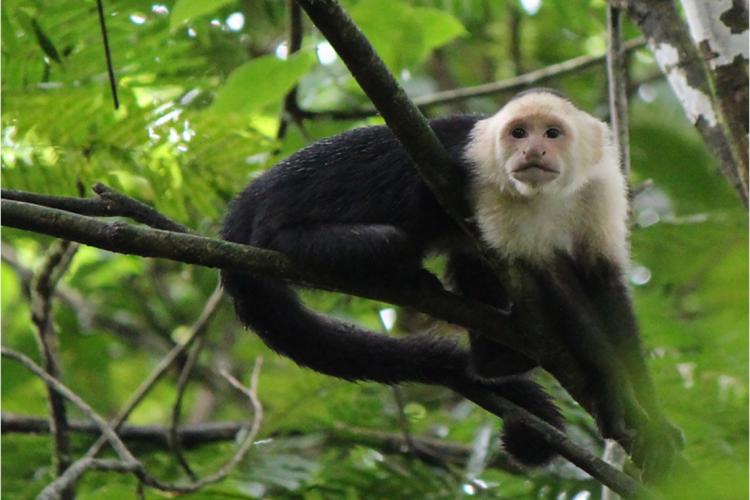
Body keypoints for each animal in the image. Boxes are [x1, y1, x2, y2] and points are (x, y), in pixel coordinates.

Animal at [222, 88, 676, 466]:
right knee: (393, 243)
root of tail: (251, 197)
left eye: (552, 133)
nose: (532, 150)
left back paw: (495, 359)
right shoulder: (483, 183)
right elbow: (550, 285)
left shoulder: (601, 185)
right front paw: (611, 392)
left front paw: (654, 417)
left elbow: (605, 285)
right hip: (286, 239)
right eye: (518, 133)